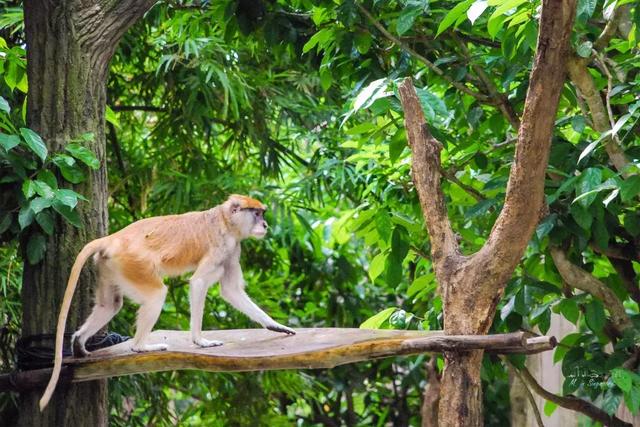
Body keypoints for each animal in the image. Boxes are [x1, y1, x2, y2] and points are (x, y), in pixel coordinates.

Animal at [41, 195, 296, 412]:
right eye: (256, 213)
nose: (265, 225)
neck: (225, 220)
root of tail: (113, 238)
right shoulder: (221, 246)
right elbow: (198, 283)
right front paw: (200, 341)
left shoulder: (232, 250)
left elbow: (231, 290)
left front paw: (277, 326)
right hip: (133, 263)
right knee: (156, 294)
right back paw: (141, 347)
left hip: (108, 265)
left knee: (110, 305)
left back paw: (79, 344)